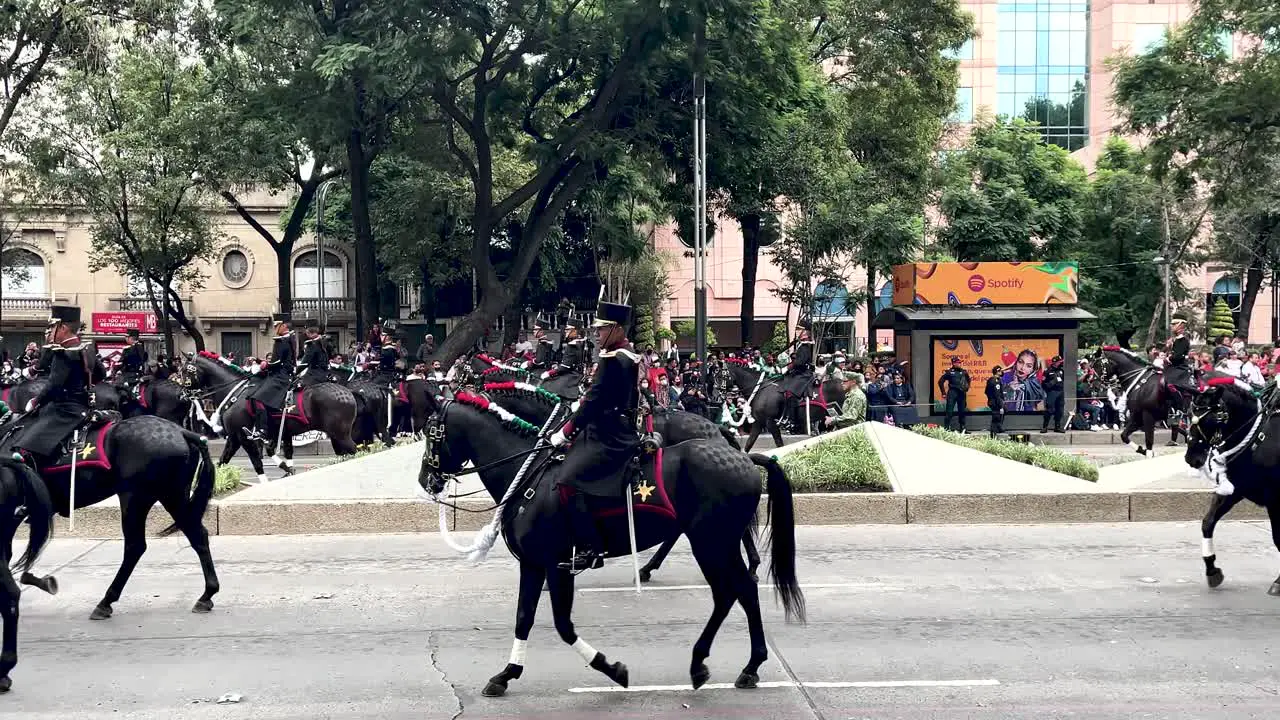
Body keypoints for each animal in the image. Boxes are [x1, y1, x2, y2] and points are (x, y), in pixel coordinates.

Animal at [1177, 371, 1280, 591]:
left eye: (1212, 419)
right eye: (1190, 415)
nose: (1192, 457)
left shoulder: (1275, 499)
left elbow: (1278, 538)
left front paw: (1279, 581)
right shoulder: (1237, 489)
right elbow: (1208, 522)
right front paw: (1211, 569)